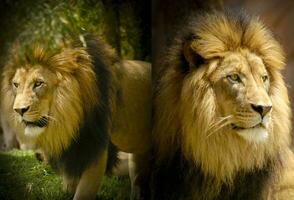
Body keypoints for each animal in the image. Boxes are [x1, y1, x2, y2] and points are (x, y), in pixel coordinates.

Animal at [2, 35, 153, 199]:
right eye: (16, 84)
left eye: (38, 83)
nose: (19, 110)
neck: (68, 116)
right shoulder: (72, 153)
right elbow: (69, 186)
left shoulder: (94, 147)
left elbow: (83, 193)